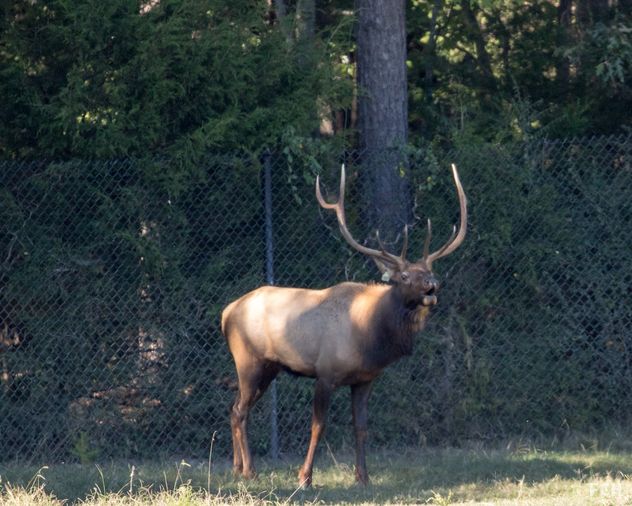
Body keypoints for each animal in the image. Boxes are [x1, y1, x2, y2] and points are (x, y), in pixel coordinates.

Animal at [220, 164, 466, 488]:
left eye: (430, 270)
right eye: (404, 277)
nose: (431, 285)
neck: (369, 337)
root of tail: (226, 313)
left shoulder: (365, 379)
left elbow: (360, 426)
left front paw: (363, 477)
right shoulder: (325, 373)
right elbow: (318, 426)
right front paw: (305, 477)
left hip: (269, 368)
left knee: (234, 407)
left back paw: (237, 468)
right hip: (248, 360)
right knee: (240, 411)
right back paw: (250, 470)